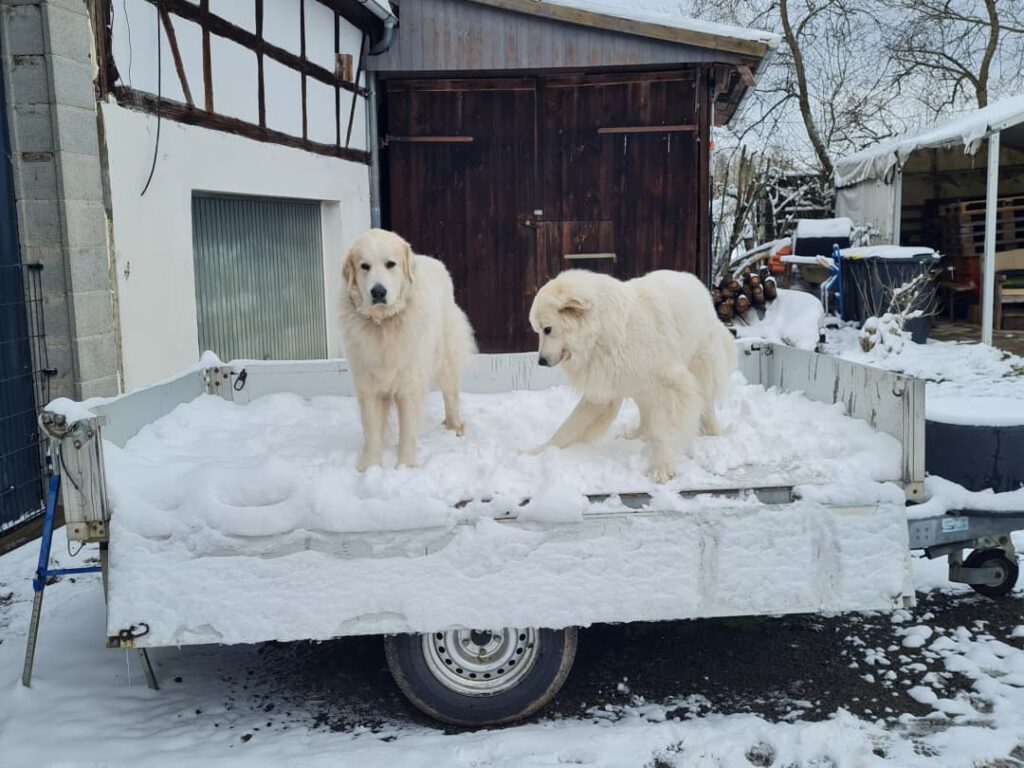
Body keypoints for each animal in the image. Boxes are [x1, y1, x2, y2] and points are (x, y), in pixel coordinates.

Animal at [339, 227, 475, 468]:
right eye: (364, 266)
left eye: (390, 264)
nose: (378, 292)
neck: (383, 323)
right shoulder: (368, 385)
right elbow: (372, 430)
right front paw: (370, 467)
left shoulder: (410, 385)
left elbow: (408, 431)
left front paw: (404, 466)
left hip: (446, 359)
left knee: (450, 394)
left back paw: (455, 426)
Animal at [528, 268, 737, 481]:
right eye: (538, 330)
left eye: (547, 329)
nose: (541, 361)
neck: (603, 332)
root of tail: (694, 279)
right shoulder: (603, 388)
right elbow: (569, 425)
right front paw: (540, 450)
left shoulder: (670, 385)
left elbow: (664, 431)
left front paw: (662, 466)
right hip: (638, 384)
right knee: (646, 412)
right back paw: (638, 435)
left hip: (700, 364)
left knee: (706, 401)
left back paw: (711, 432)